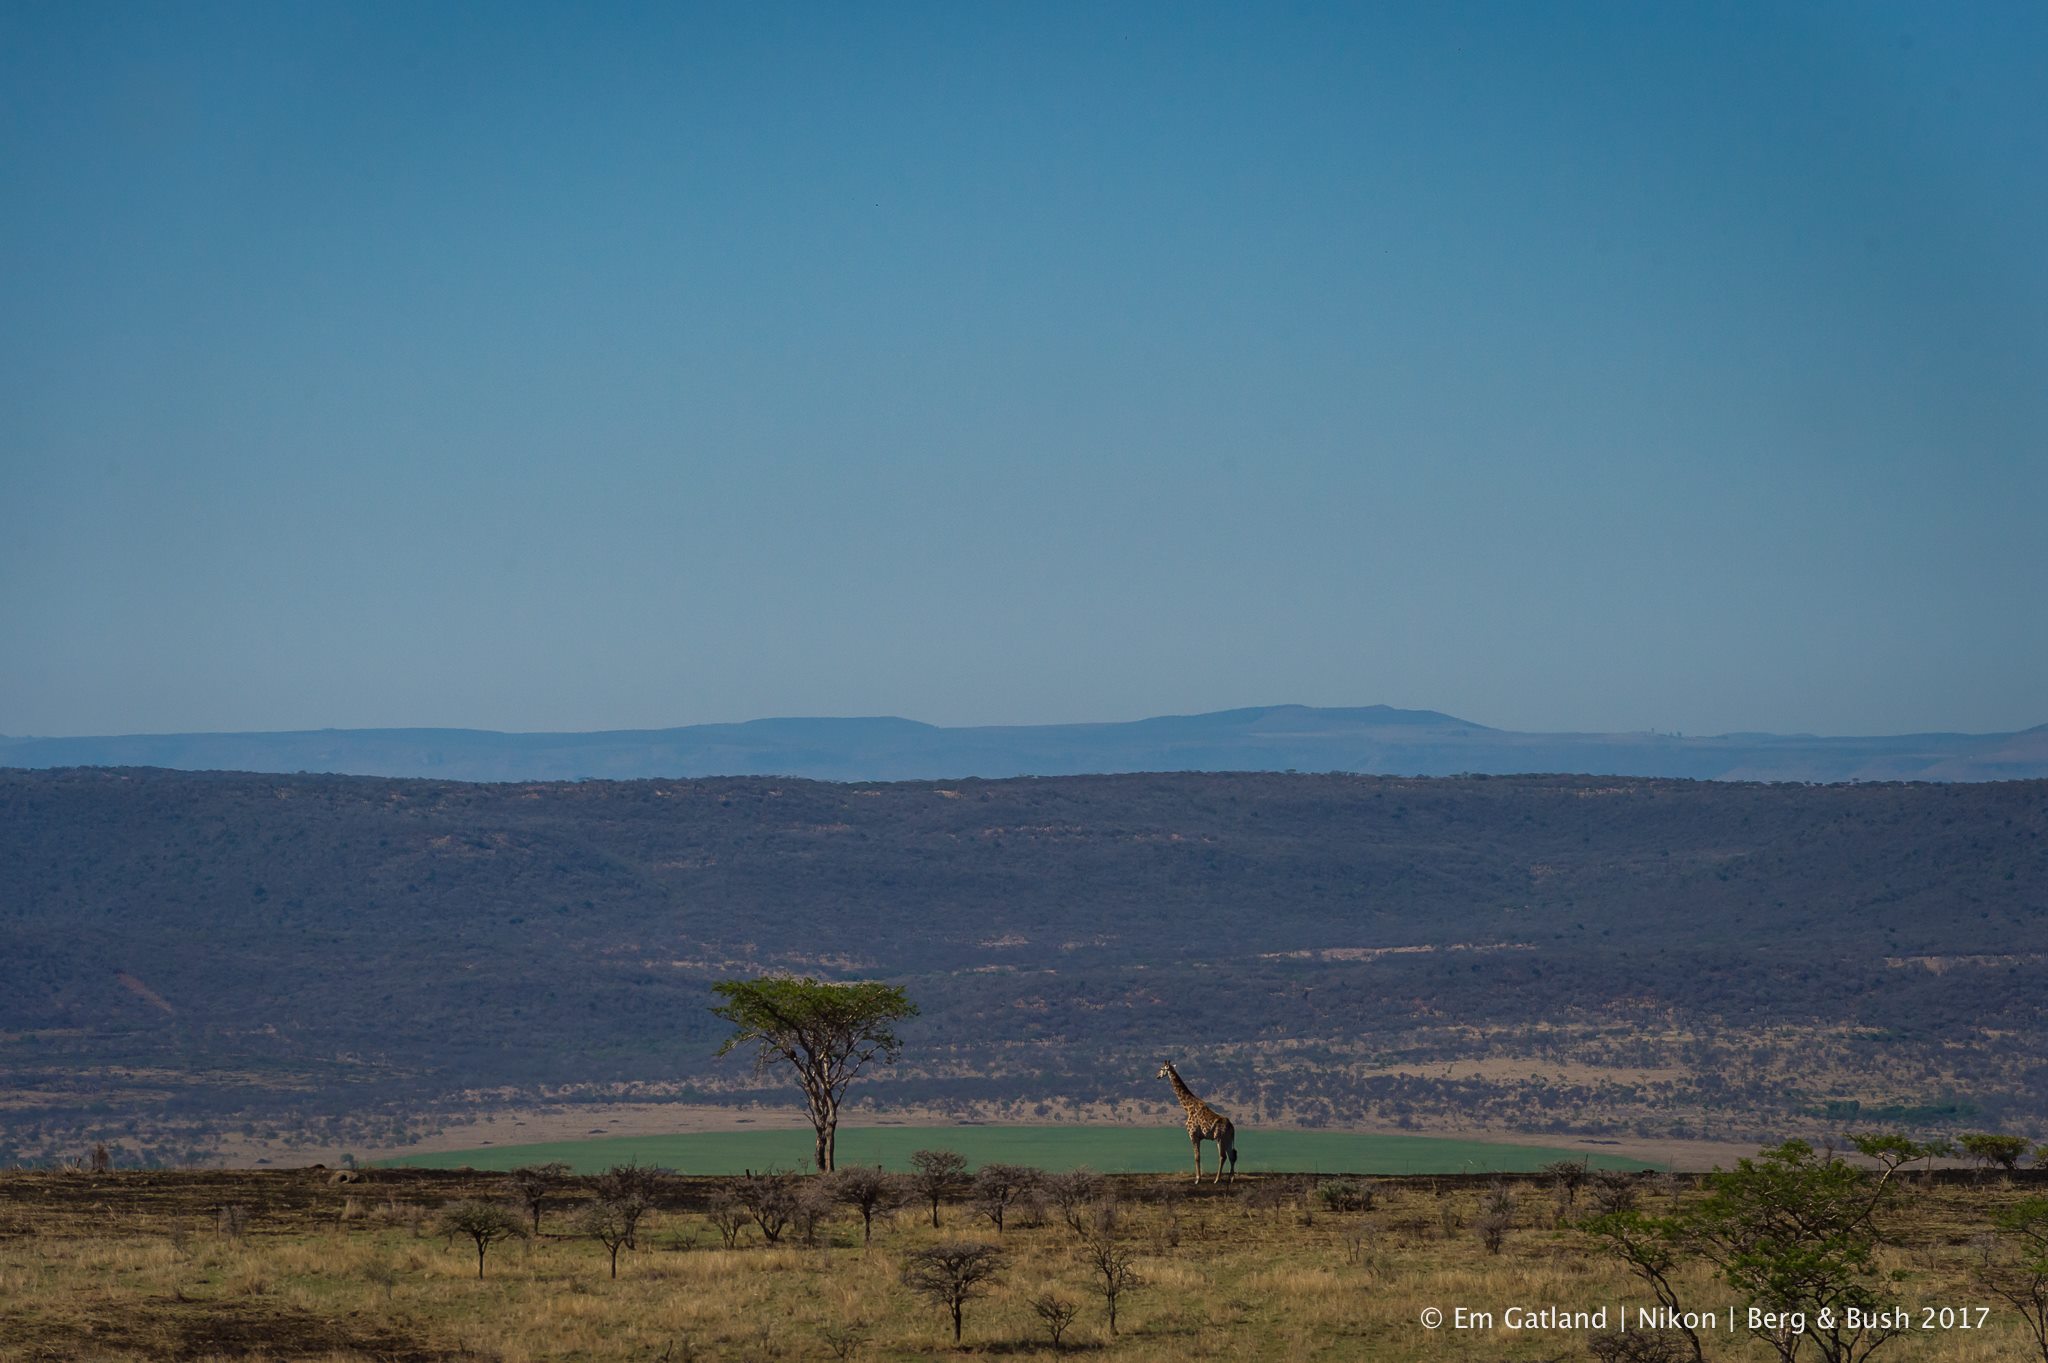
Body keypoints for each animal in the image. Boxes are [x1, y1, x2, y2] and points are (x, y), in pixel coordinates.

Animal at [1155, 1047, 1228, 1178]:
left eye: (1162, 1068)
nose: (1157, 1076)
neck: (1188, 1108)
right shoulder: (1198, 1137)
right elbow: (1198, 1156)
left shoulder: (1193, 1134)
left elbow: (1197, 1156)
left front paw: (1198, 1177)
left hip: (1220, 1139)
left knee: (1223, 1156)